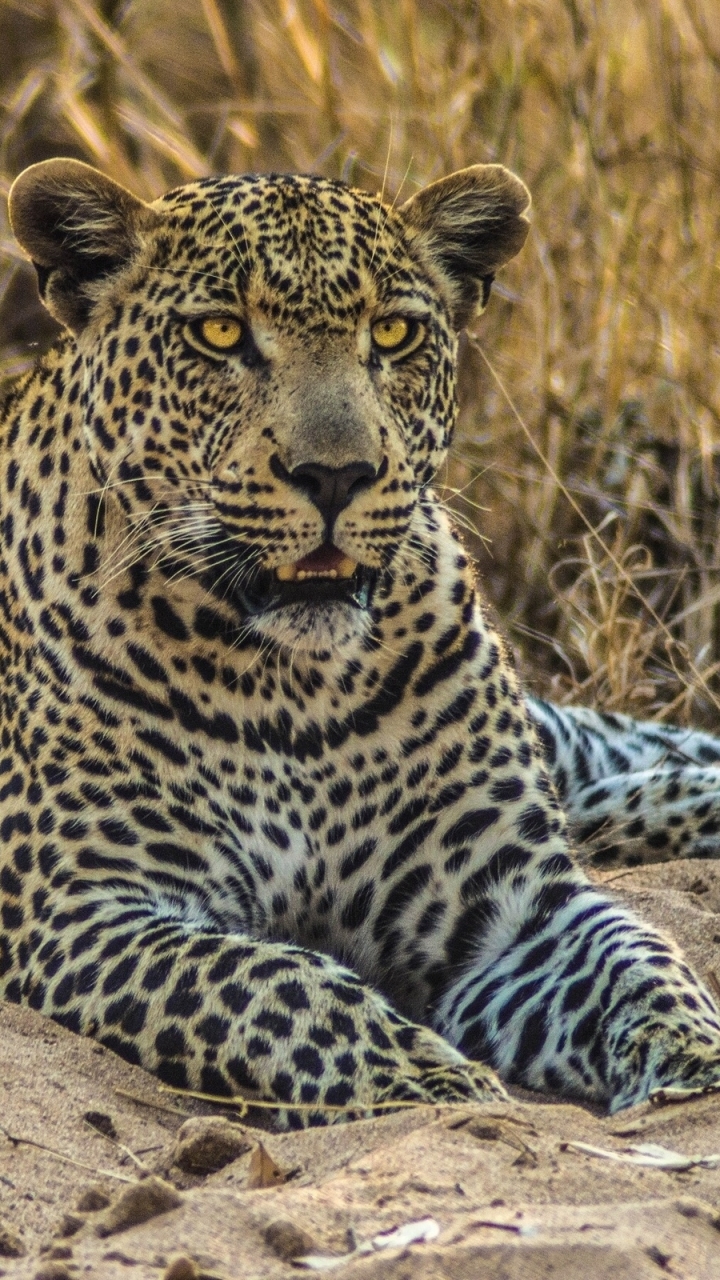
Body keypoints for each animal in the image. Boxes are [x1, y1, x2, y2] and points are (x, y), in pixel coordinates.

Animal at [1, 152, 717, 1131]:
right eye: (221, 333)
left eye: (394, 332)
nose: (337, 475)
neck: (291, 685)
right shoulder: (81, 910)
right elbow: (274, 987)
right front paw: (441, 1085)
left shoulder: (512, 904)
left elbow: (636, 960)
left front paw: (691, 1059)